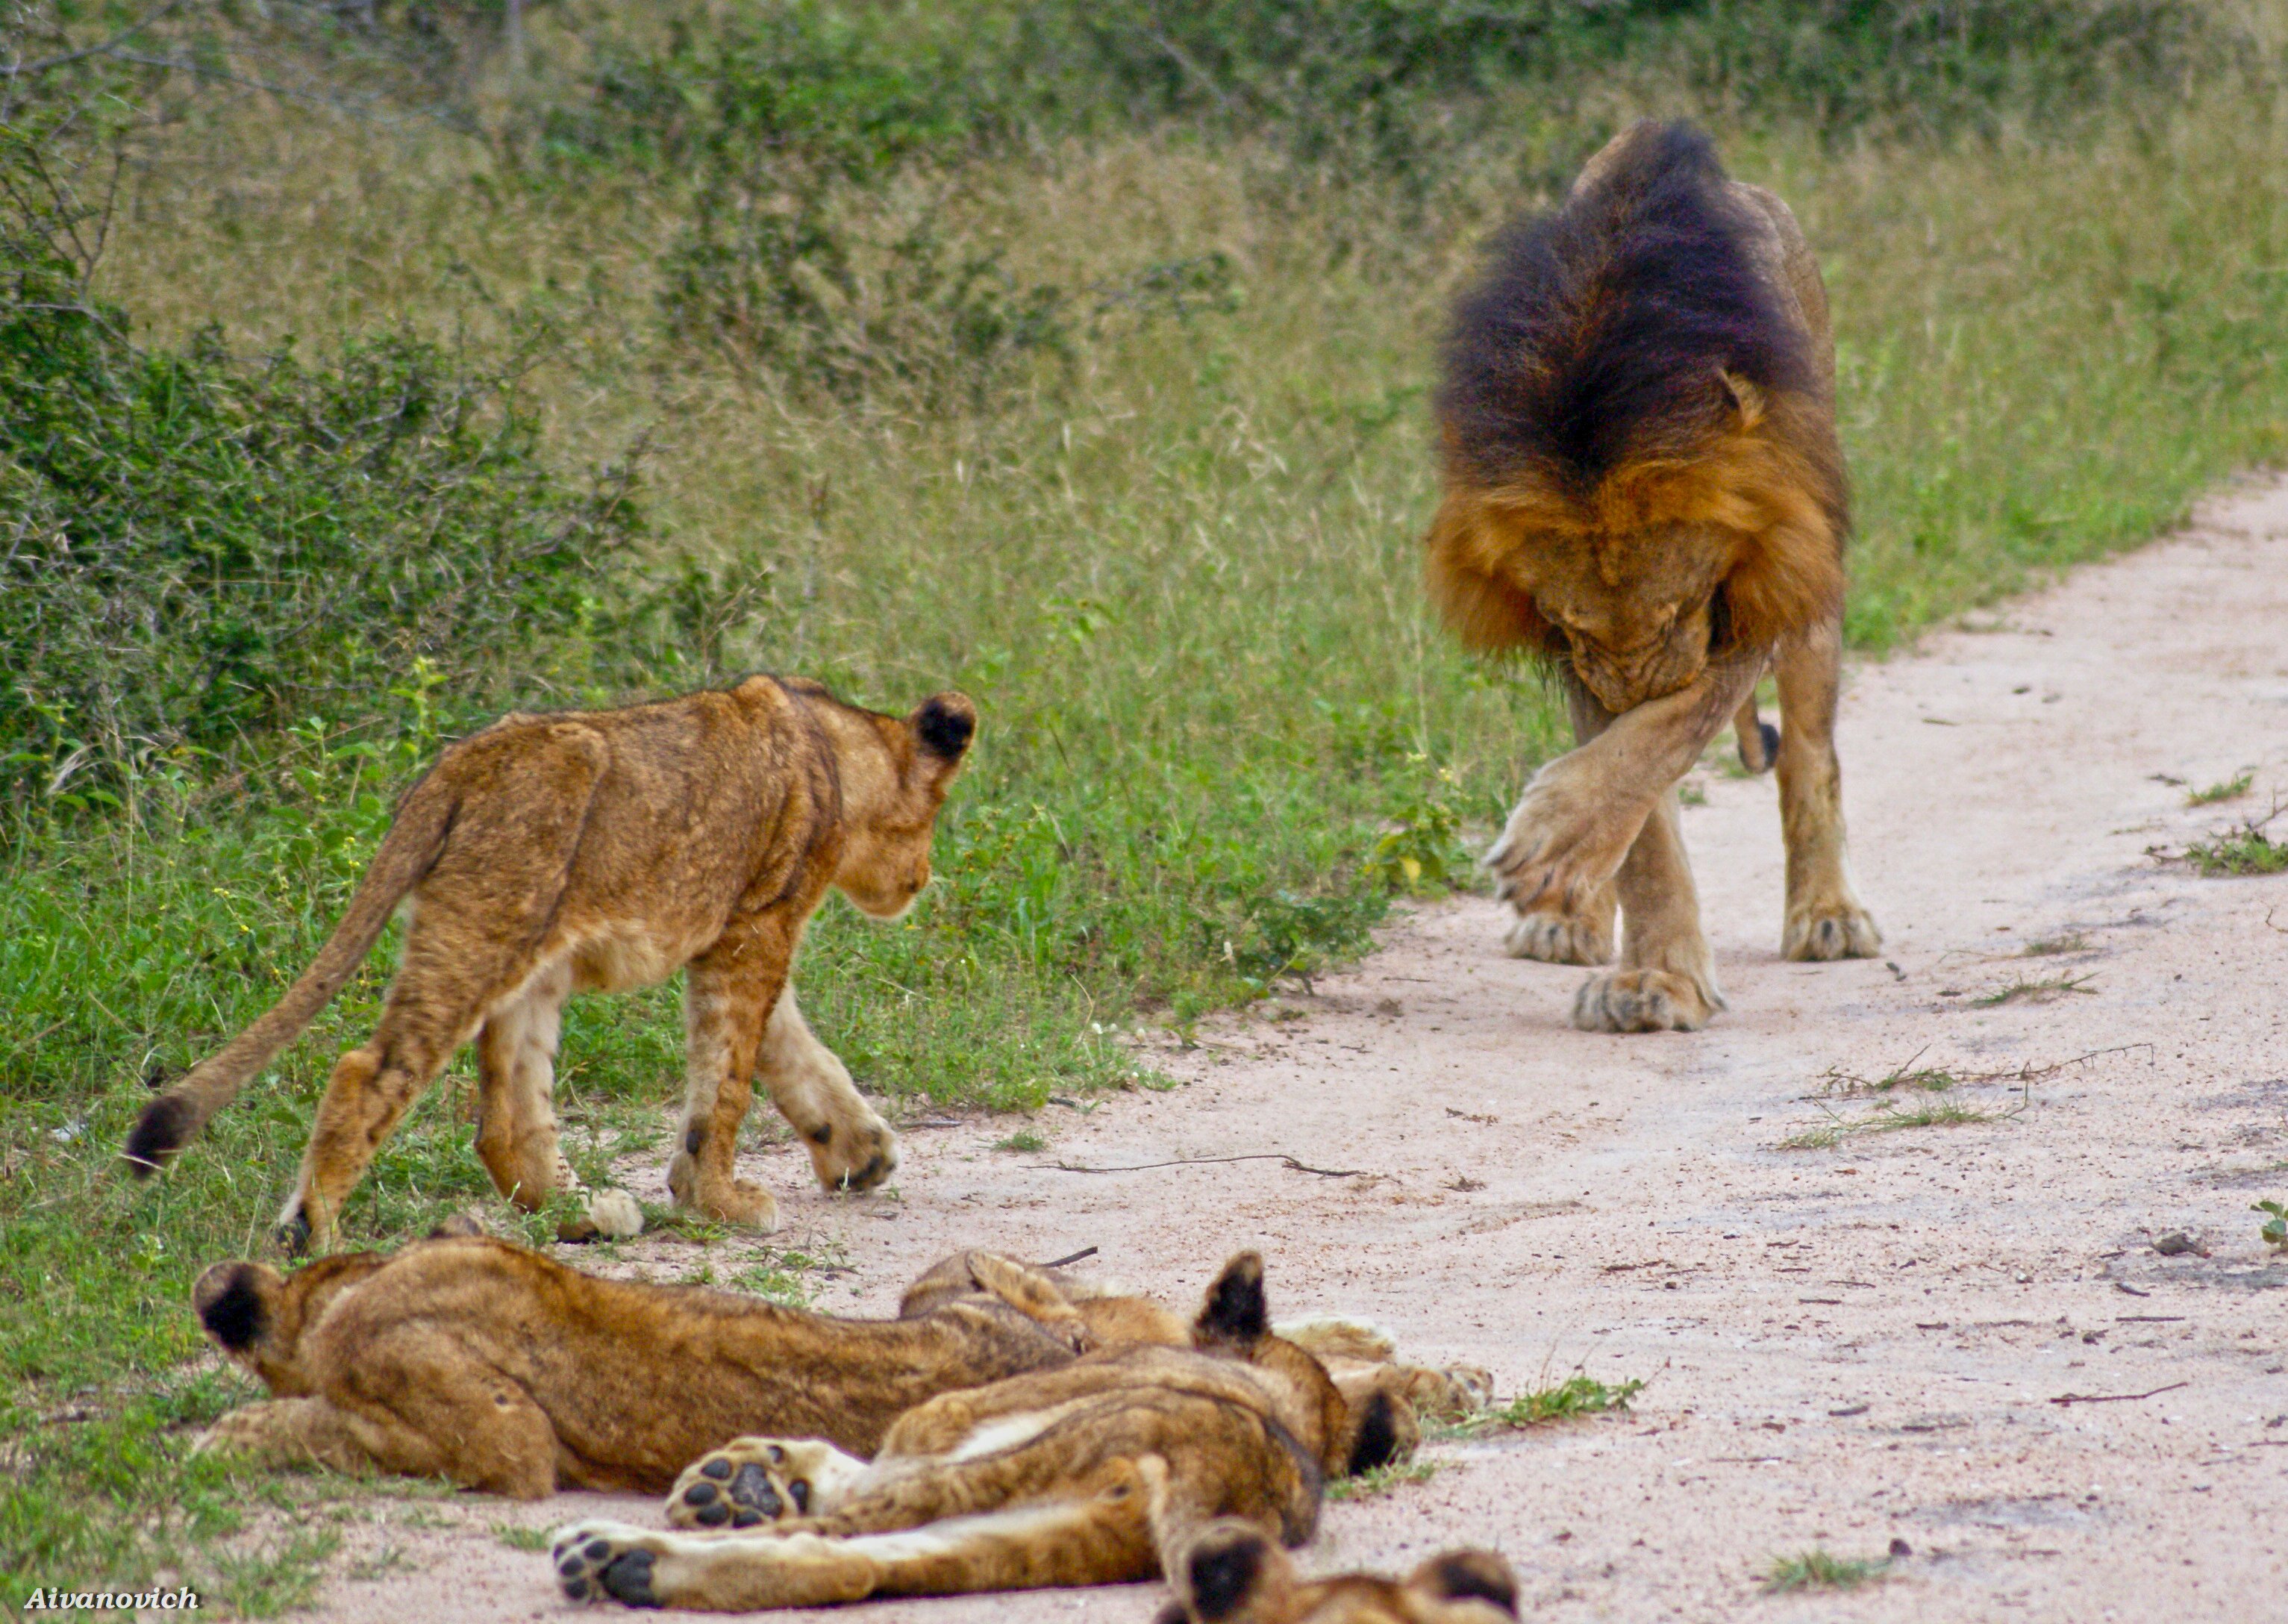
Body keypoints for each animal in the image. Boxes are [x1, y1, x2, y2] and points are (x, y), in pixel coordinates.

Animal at [127, 672, 975, 1244]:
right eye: (934, 816)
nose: (922, 878)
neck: (837, 748)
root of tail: (462, 763)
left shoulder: (734, 933)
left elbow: (790, 1050)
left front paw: (860, 1153)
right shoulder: (754, 931)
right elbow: (731, 1076)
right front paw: (719, 1201)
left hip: (526, 960)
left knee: (504, 1123)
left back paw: (582, 1213)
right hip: (481, 935)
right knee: (370, 1071)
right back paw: (314, 1233)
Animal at [544, 1262, 1492, 1619]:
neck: (1296, 1405)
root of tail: (1232, 1474)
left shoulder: (940, 1423)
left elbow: (864, 1462)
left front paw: (750, 1474)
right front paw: (750, 1473)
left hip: (996, 1480)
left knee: (836, 1537)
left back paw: (611, 1548)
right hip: (1009, 1540)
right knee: (843, 1566)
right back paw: (637, 1565)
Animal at [1428, 117, 1876, 1029]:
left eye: (1679, 607)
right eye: (1569, 620)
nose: (1634, 688)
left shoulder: (1756, 588)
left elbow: (1664, 736)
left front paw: (1558, 843)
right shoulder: (1576, 657)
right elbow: (1641, 806)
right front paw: (1652, 976)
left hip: (1818, 574)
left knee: (1810, 753)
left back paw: (1829, 915)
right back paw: (1566, 919)